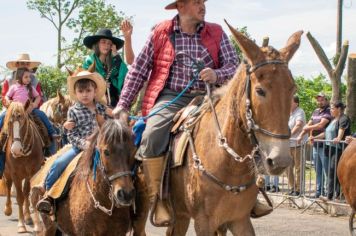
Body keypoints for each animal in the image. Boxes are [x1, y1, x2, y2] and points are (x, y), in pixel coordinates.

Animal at [2, 100, 44, 233]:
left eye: (23, 123)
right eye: (9, 122)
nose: (16, 150)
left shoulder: (33, 171)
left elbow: (30, 195)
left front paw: (36, 224)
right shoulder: (15, 173)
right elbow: (19, 197)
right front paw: (21, 225)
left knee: (25, 192)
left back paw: (28, 217)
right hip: (7, 172)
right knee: (8, 185)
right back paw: (8, 209)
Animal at [168, 24, 302, 236]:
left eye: (292, 89)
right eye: (259, 90)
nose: (280, 160)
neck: (228, 161)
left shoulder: (240, 220)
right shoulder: (203, 222)